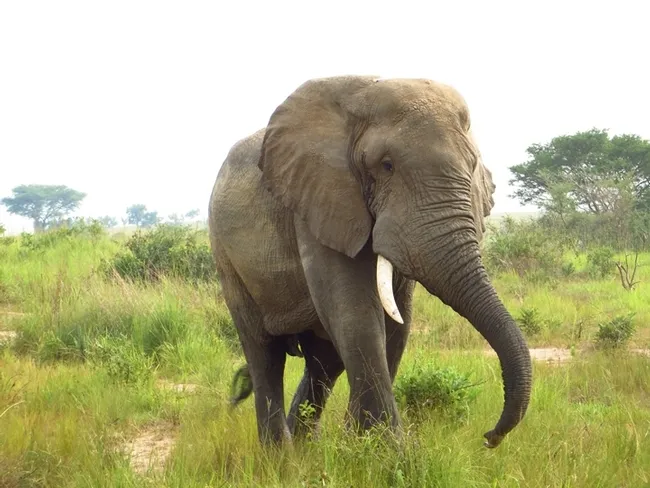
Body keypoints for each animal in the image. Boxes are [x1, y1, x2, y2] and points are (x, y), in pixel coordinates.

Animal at [208, 75, 532, 449]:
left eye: (472, 166)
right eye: (386, 166)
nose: (489, 437)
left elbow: (397, 324)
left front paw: (361, 447)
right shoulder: (321, 200)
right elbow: (358, 317)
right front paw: (388, 452)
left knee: (323, 362)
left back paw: (307, 450)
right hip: (226, 257)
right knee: (264, 354)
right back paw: (281, 457)